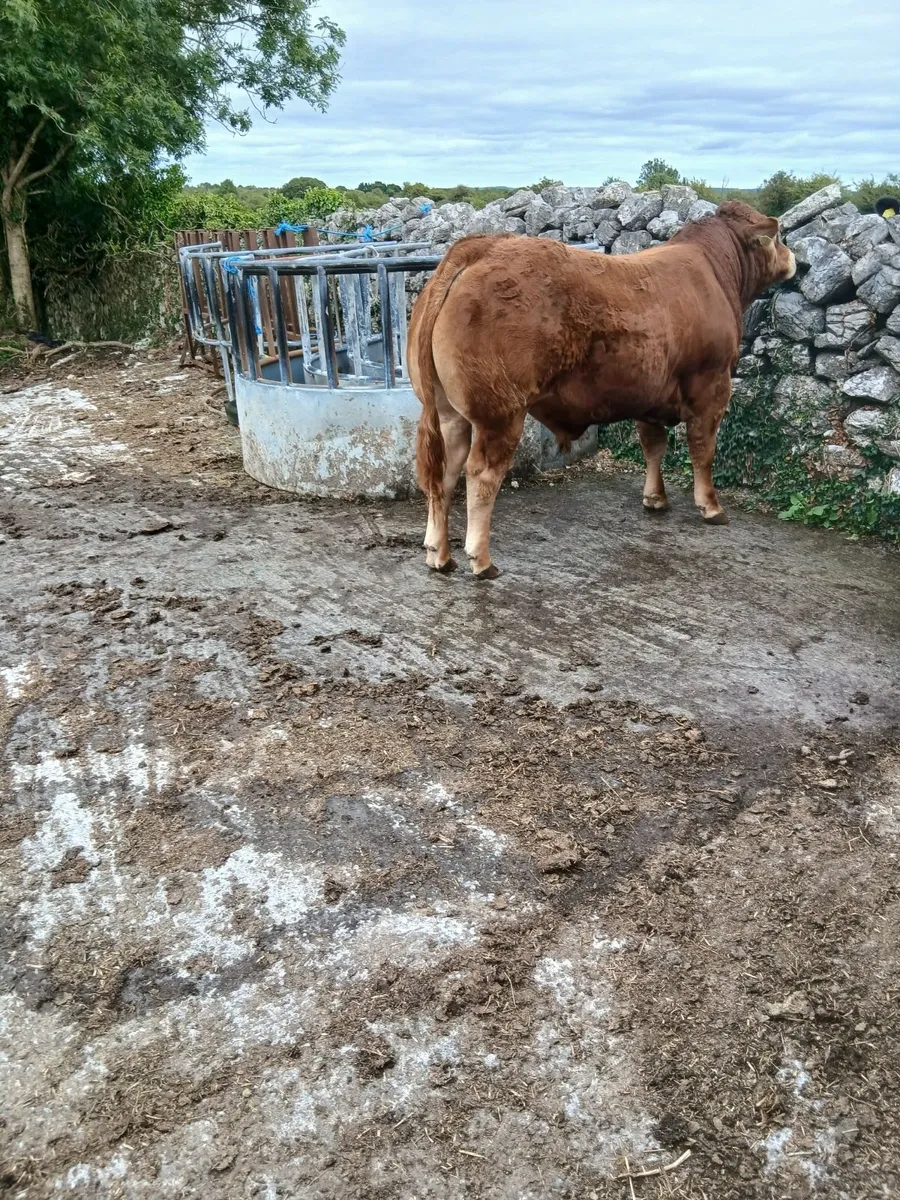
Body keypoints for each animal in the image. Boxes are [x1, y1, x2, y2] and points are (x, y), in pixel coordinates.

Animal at [407, 200, 796, 578]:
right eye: (779, 238)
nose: (797, 260)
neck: (715, 273)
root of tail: (484, 246)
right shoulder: (712, 387)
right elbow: (703, 450)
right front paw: (711, 506)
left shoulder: (649, 394)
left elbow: (653, 446)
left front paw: (655, 499)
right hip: (501, 413)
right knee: (481, 475)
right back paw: (481, 560)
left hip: (449, 412)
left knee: (444, 474)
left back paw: (439, 555)